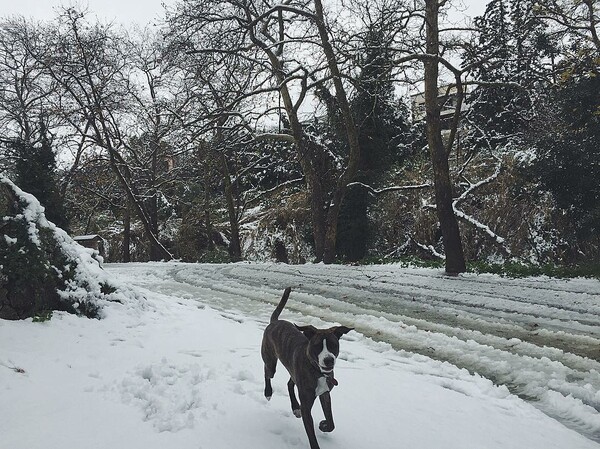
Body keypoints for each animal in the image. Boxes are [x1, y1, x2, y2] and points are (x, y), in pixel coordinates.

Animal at [262, 288, 354, 448]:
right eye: (317, 346)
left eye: (333, 345)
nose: (328, 360)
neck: (318, 372)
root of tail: (274, 322)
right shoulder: (306, 405)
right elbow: (311, 434)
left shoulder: (325, 393)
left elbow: (331, 422)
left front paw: (323, 425)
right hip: (270, 360)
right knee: (267, 373)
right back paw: (268, 392)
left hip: (293, 371)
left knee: (289, 383)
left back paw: (295, 407)